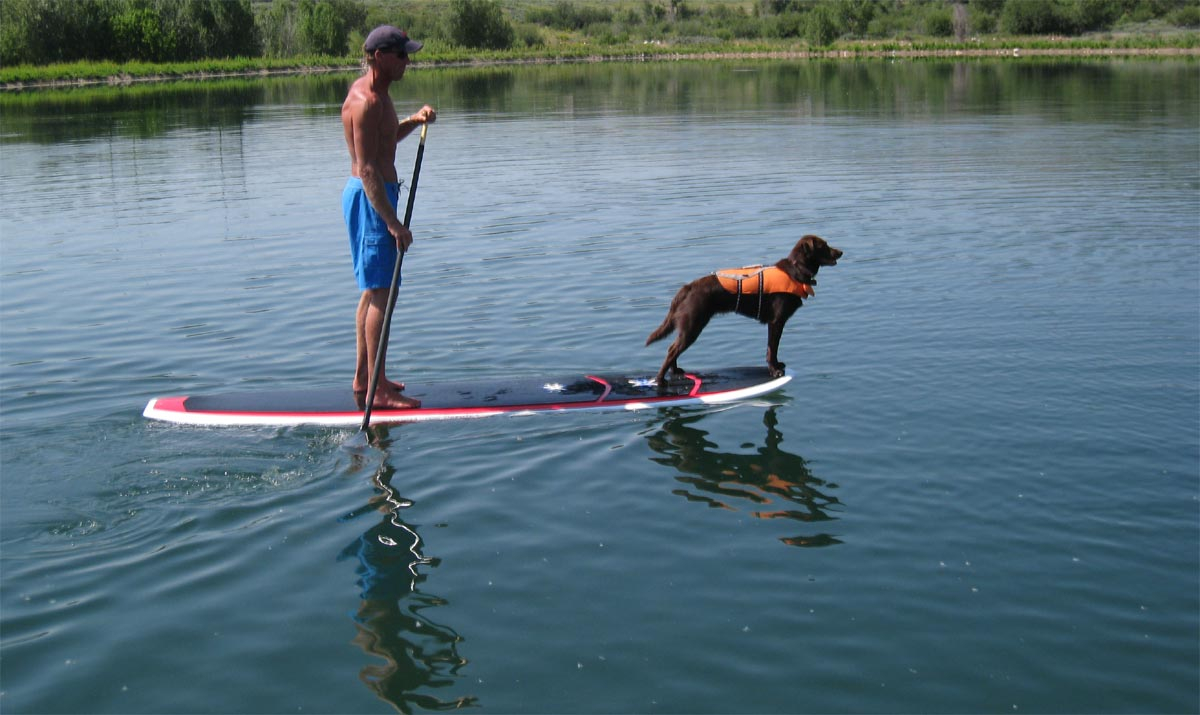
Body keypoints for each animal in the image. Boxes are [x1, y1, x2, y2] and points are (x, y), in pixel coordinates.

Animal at [648, 236, 844, 386]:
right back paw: (660, 380)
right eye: (824, 245)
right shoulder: (776, 321)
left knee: (672, 348)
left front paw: (777, 366)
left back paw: (675, 371)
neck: (796, 270)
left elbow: (772, 349)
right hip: (693, 325)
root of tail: (687, 287)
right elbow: (772, 349)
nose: (841, 252)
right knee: (672, 350)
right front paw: (774, 370)